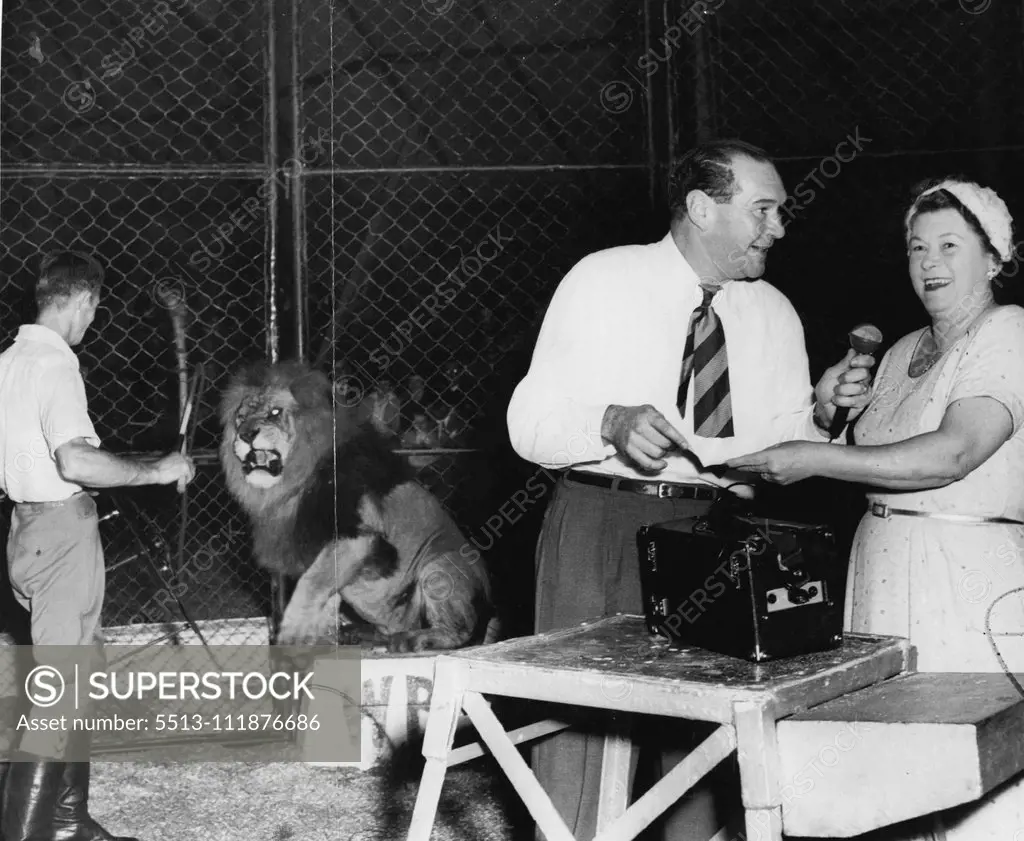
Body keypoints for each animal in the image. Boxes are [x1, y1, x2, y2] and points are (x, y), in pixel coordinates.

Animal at [220, 358, 495, 651]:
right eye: (240, 418)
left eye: (274, 412)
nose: (246, 434)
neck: (292, 482)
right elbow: (326, 596)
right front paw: (320, 639)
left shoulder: (358, 536)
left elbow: (310, 584)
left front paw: (291, 637)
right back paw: (358, 634)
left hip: (442, 563)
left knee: (463, 635)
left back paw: (415, 638)